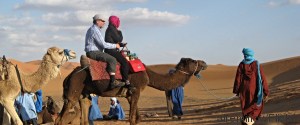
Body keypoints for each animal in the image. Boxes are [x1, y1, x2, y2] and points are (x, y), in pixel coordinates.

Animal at [55, 57, 207, 124]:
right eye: (194, 61)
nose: (204, 63)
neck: (147, 75)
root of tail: (68, 76)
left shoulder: (130, 94)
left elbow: (138, 117)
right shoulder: (136, 90)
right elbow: (132, 119)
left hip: (83, 94)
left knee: (84, 114)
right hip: (72, 93)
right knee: (60, 119)